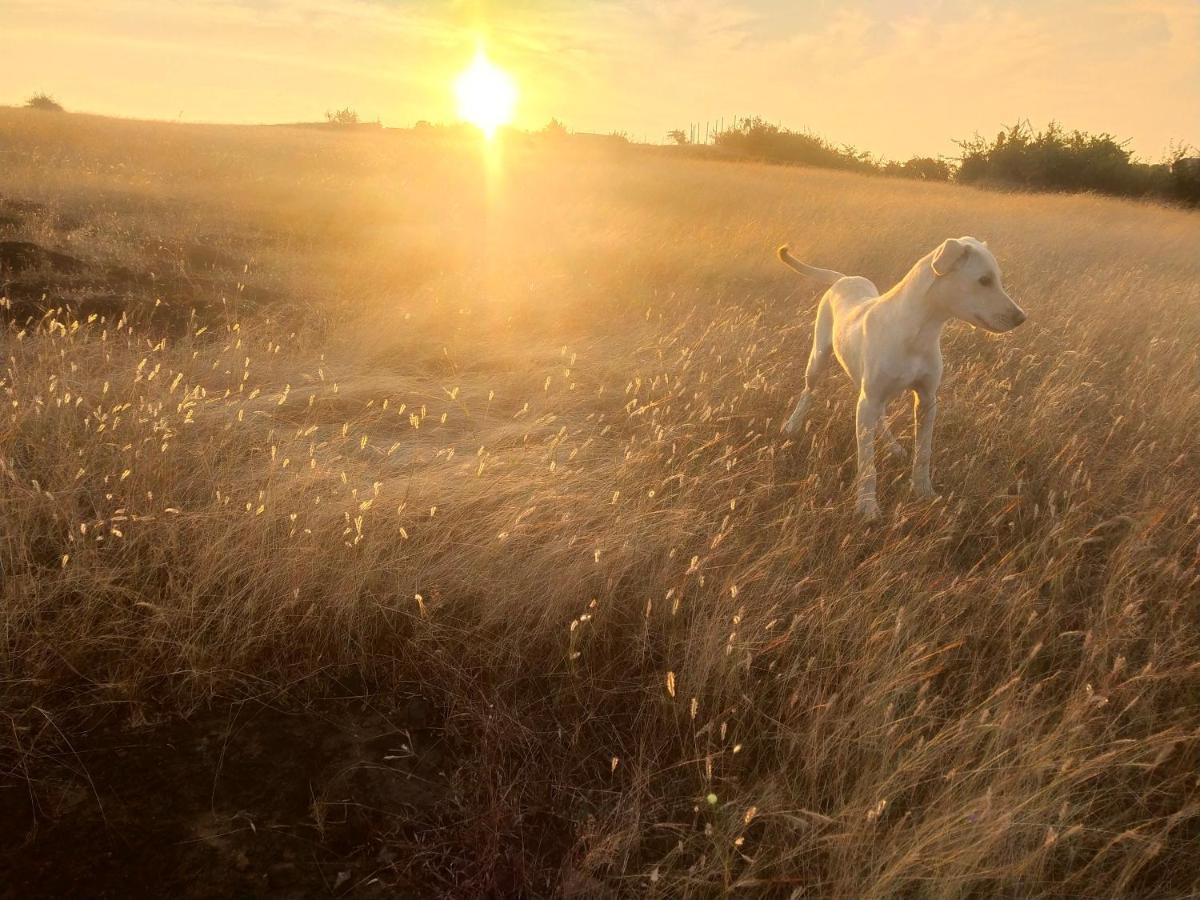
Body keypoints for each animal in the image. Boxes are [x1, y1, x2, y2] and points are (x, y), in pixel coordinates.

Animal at [782, 237, 1027, 520]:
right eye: (984, 280)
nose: (1022, 318)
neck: (918, 331)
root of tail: (843, 278)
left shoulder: (927, 399)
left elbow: (923, 452)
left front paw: (923, 490)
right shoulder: (868, 400)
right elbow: (867, 463)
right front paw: (867, 505)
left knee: (880, 417)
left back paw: (894, 447)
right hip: (819, 360)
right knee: (808, 393)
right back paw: (793, 424)